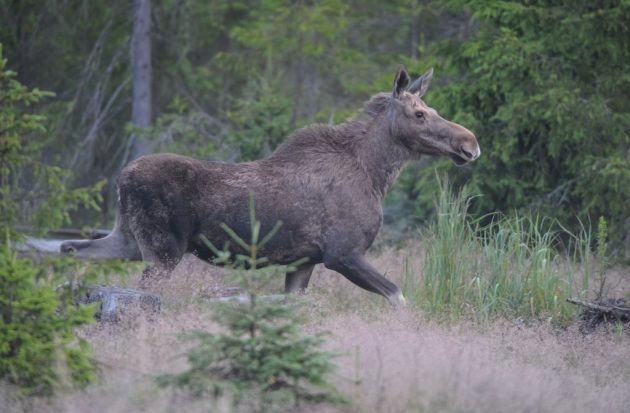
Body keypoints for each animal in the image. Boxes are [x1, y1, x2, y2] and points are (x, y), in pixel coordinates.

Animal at [61, 67, 482, 306]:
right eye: (420, 113)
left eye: (433, 110)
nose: (470, 143)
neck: (376, 176)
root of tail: (121, 178)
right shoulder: (342, 253)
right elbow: (399, 296)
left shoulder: (305, 262)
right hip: (163, 250)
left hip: (130, 239)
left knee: (72, 250)